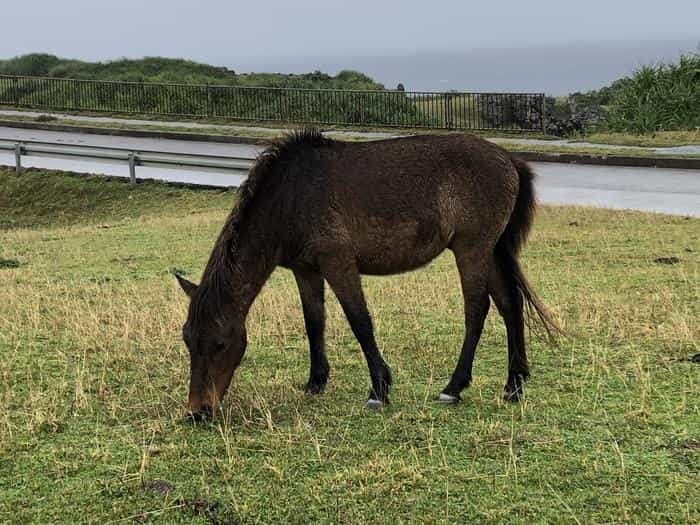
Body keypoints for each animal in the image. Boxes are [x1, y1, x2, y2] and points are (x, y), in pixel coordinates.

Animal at [176, 129, 556, 420]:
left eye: (220, 342)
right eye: (188, 340)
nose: (197, 411)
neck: (290, 196)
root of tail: (510, 161)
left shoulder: (339, 264)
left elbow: (359, 322)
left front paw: (379, 389)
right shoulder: (306, 270)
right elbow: (314, 322)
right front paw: (315, 382)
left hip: (472, 250)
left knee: (477, 310)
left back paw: (454, 386)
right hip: (489, 252)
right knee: (509, 306)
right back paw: (514, 385)